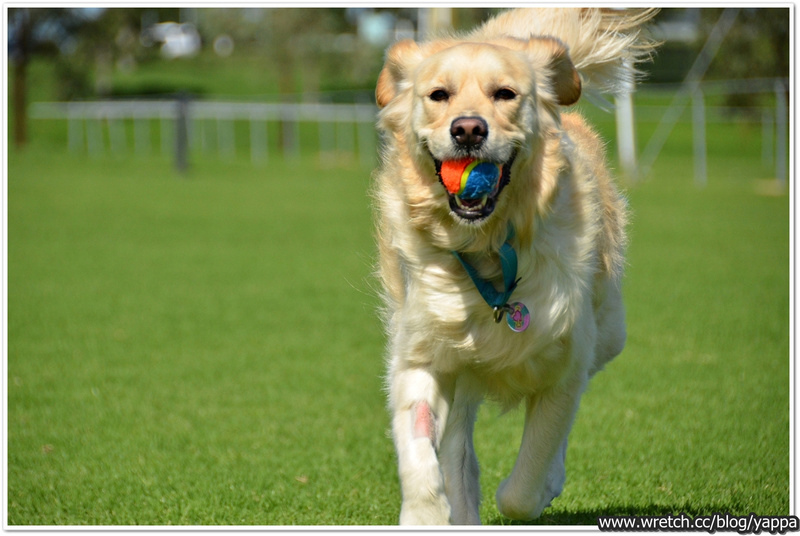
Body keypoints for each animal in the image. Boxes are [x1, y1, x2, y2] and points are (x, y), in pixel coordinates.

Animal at [373, 8, 658, 525]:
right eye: (438, 95)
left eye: (505, 93)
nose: (468, 129)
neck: (486, 249)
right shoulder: (421, 352)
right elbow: (418, 446)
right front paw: (426, 513)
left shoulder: (565, 365)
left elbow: (524, 486)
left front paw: (540, 487)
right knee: (457, 444)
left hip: (609, 334)